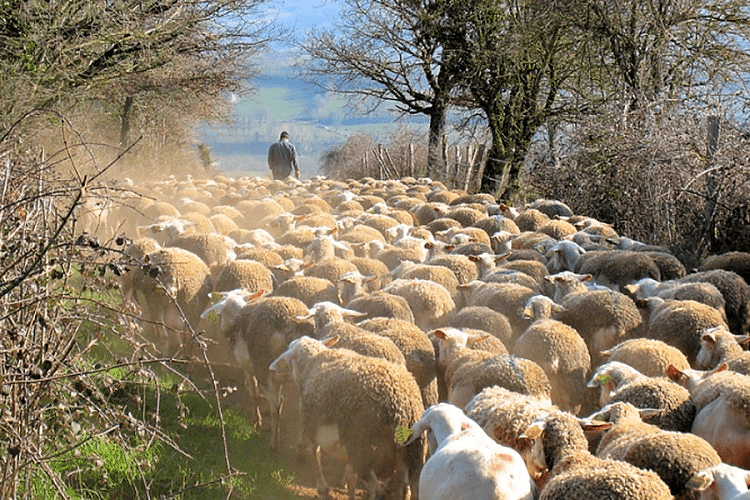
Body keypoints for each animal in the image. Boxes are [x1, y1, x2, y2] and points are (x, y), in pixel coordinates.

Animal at [270, 336, 426, 500]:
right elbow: (351, 476)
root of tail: (402, 407)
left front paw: (322, 489)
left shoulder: (311, 426)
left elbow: (315, 454)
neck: (311, 362)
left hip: (364, 449)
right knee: (405, 490)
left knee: (377, 491)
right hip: (409, 454)